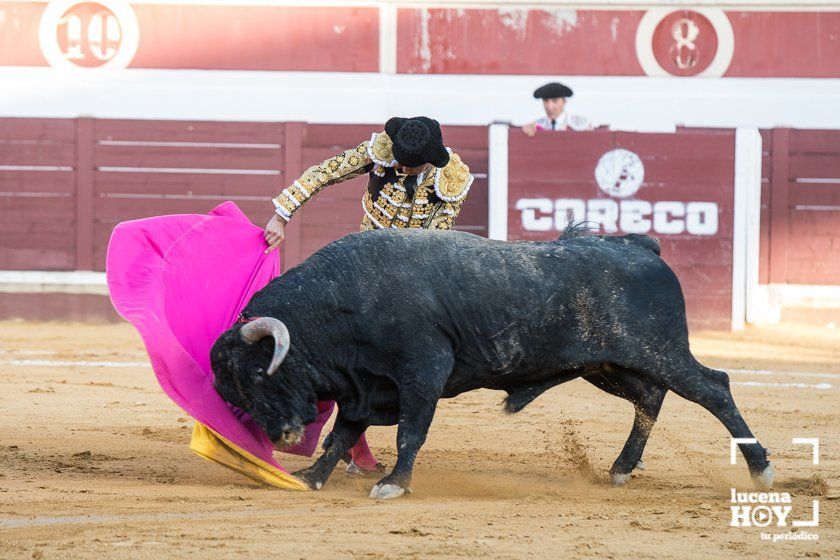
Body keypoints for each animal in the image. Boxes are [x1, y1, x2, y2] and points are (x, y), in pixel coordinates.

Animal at [212, 228, 776, 498]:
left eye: (259, 374)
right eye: (234, 389)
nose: (282, 436)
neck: (341, 301)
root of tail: (641, 246)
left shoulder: (422, 371)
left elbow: (410, 431)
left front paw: (394, 483)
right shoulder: (364, 387)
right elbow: (341, 436)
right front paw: (310, 476)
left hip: (660, 352)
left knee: (713, 388)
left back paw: (762, 470)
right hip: (607, 366)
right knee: (651, 398)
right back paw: (620, 469)